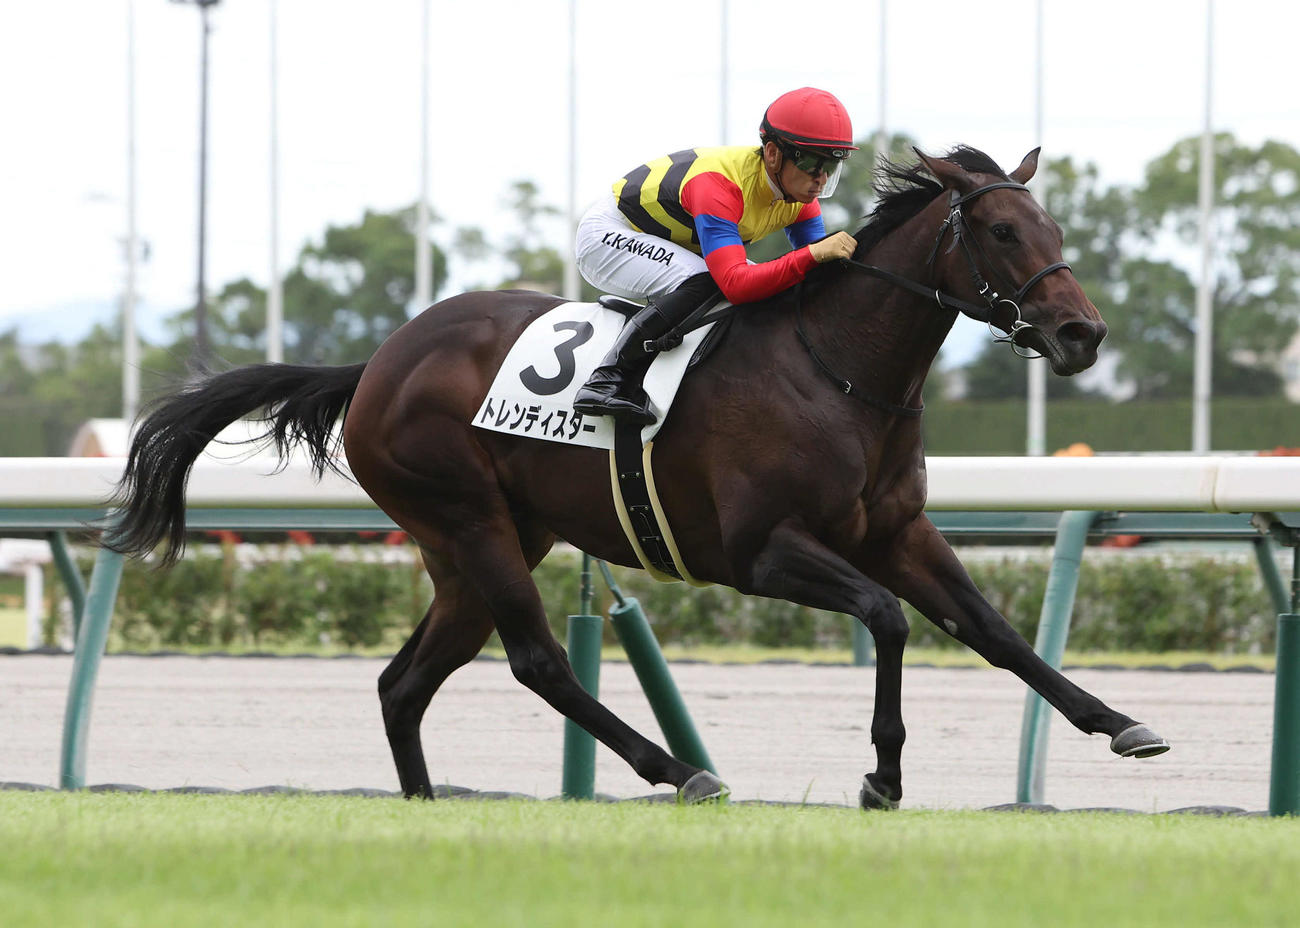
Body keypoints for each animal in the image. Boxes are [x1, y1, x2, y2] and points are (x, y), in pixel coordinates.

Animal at [107, 145, 1170, 808]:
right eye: (1001, 233)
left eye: (1051, 224)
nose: (1082, 333)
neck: (839, 369)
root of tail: (375, 364)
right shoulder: (762, 552)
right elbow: (889, 619)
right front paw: (883, 780)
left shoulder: (897, 533)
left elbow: (993, 629)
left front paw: (1121, 723)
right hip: (466, 517)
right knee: (536, 660)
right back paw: (679, 770)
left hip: (478, 542)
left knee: (404, 683)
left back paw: (424, 803)